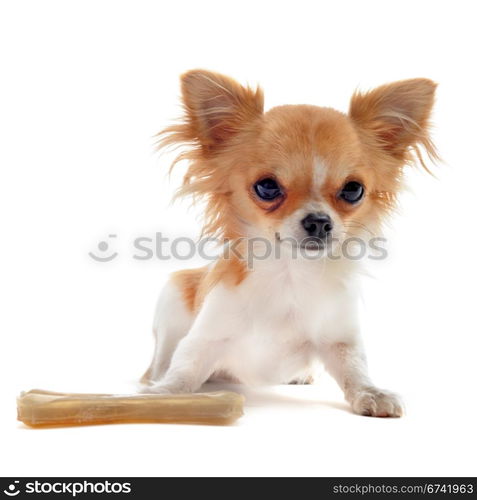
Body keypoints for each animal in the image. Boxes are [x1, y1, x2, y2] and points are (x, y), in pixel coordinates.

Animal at [139, 68, 436, 416]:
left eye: (353, 190)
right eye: (267, 187)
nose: (319, 221)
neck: (291, 272)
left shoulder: (339, 339)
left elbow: (354, 368)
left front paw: (372, 393)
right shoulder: (206, 336)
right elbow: (185, 367)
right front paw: (163, 394)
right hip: (172, 298)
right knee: (162, 359)